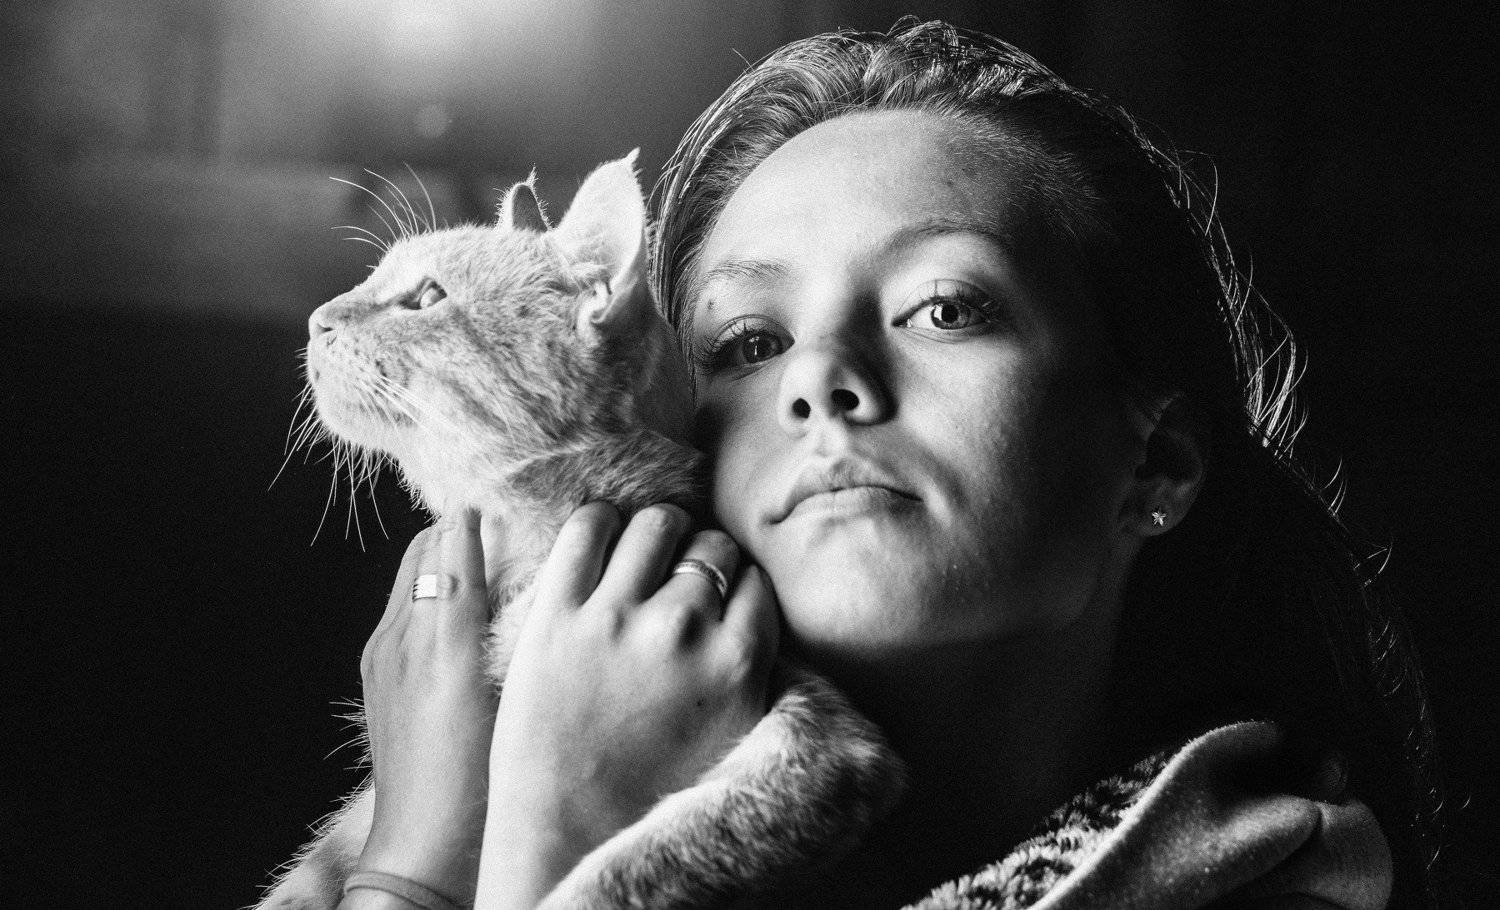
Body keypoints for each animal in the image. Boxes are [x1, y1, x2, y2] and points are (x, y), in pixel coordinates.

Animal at [258, 153, 905, 909]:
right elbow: (304, 882)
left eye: (427, 297)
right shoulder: (347, 833)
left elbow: (636, 860)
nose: (317, 320)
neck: (513, 555)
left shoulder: (825, 738)